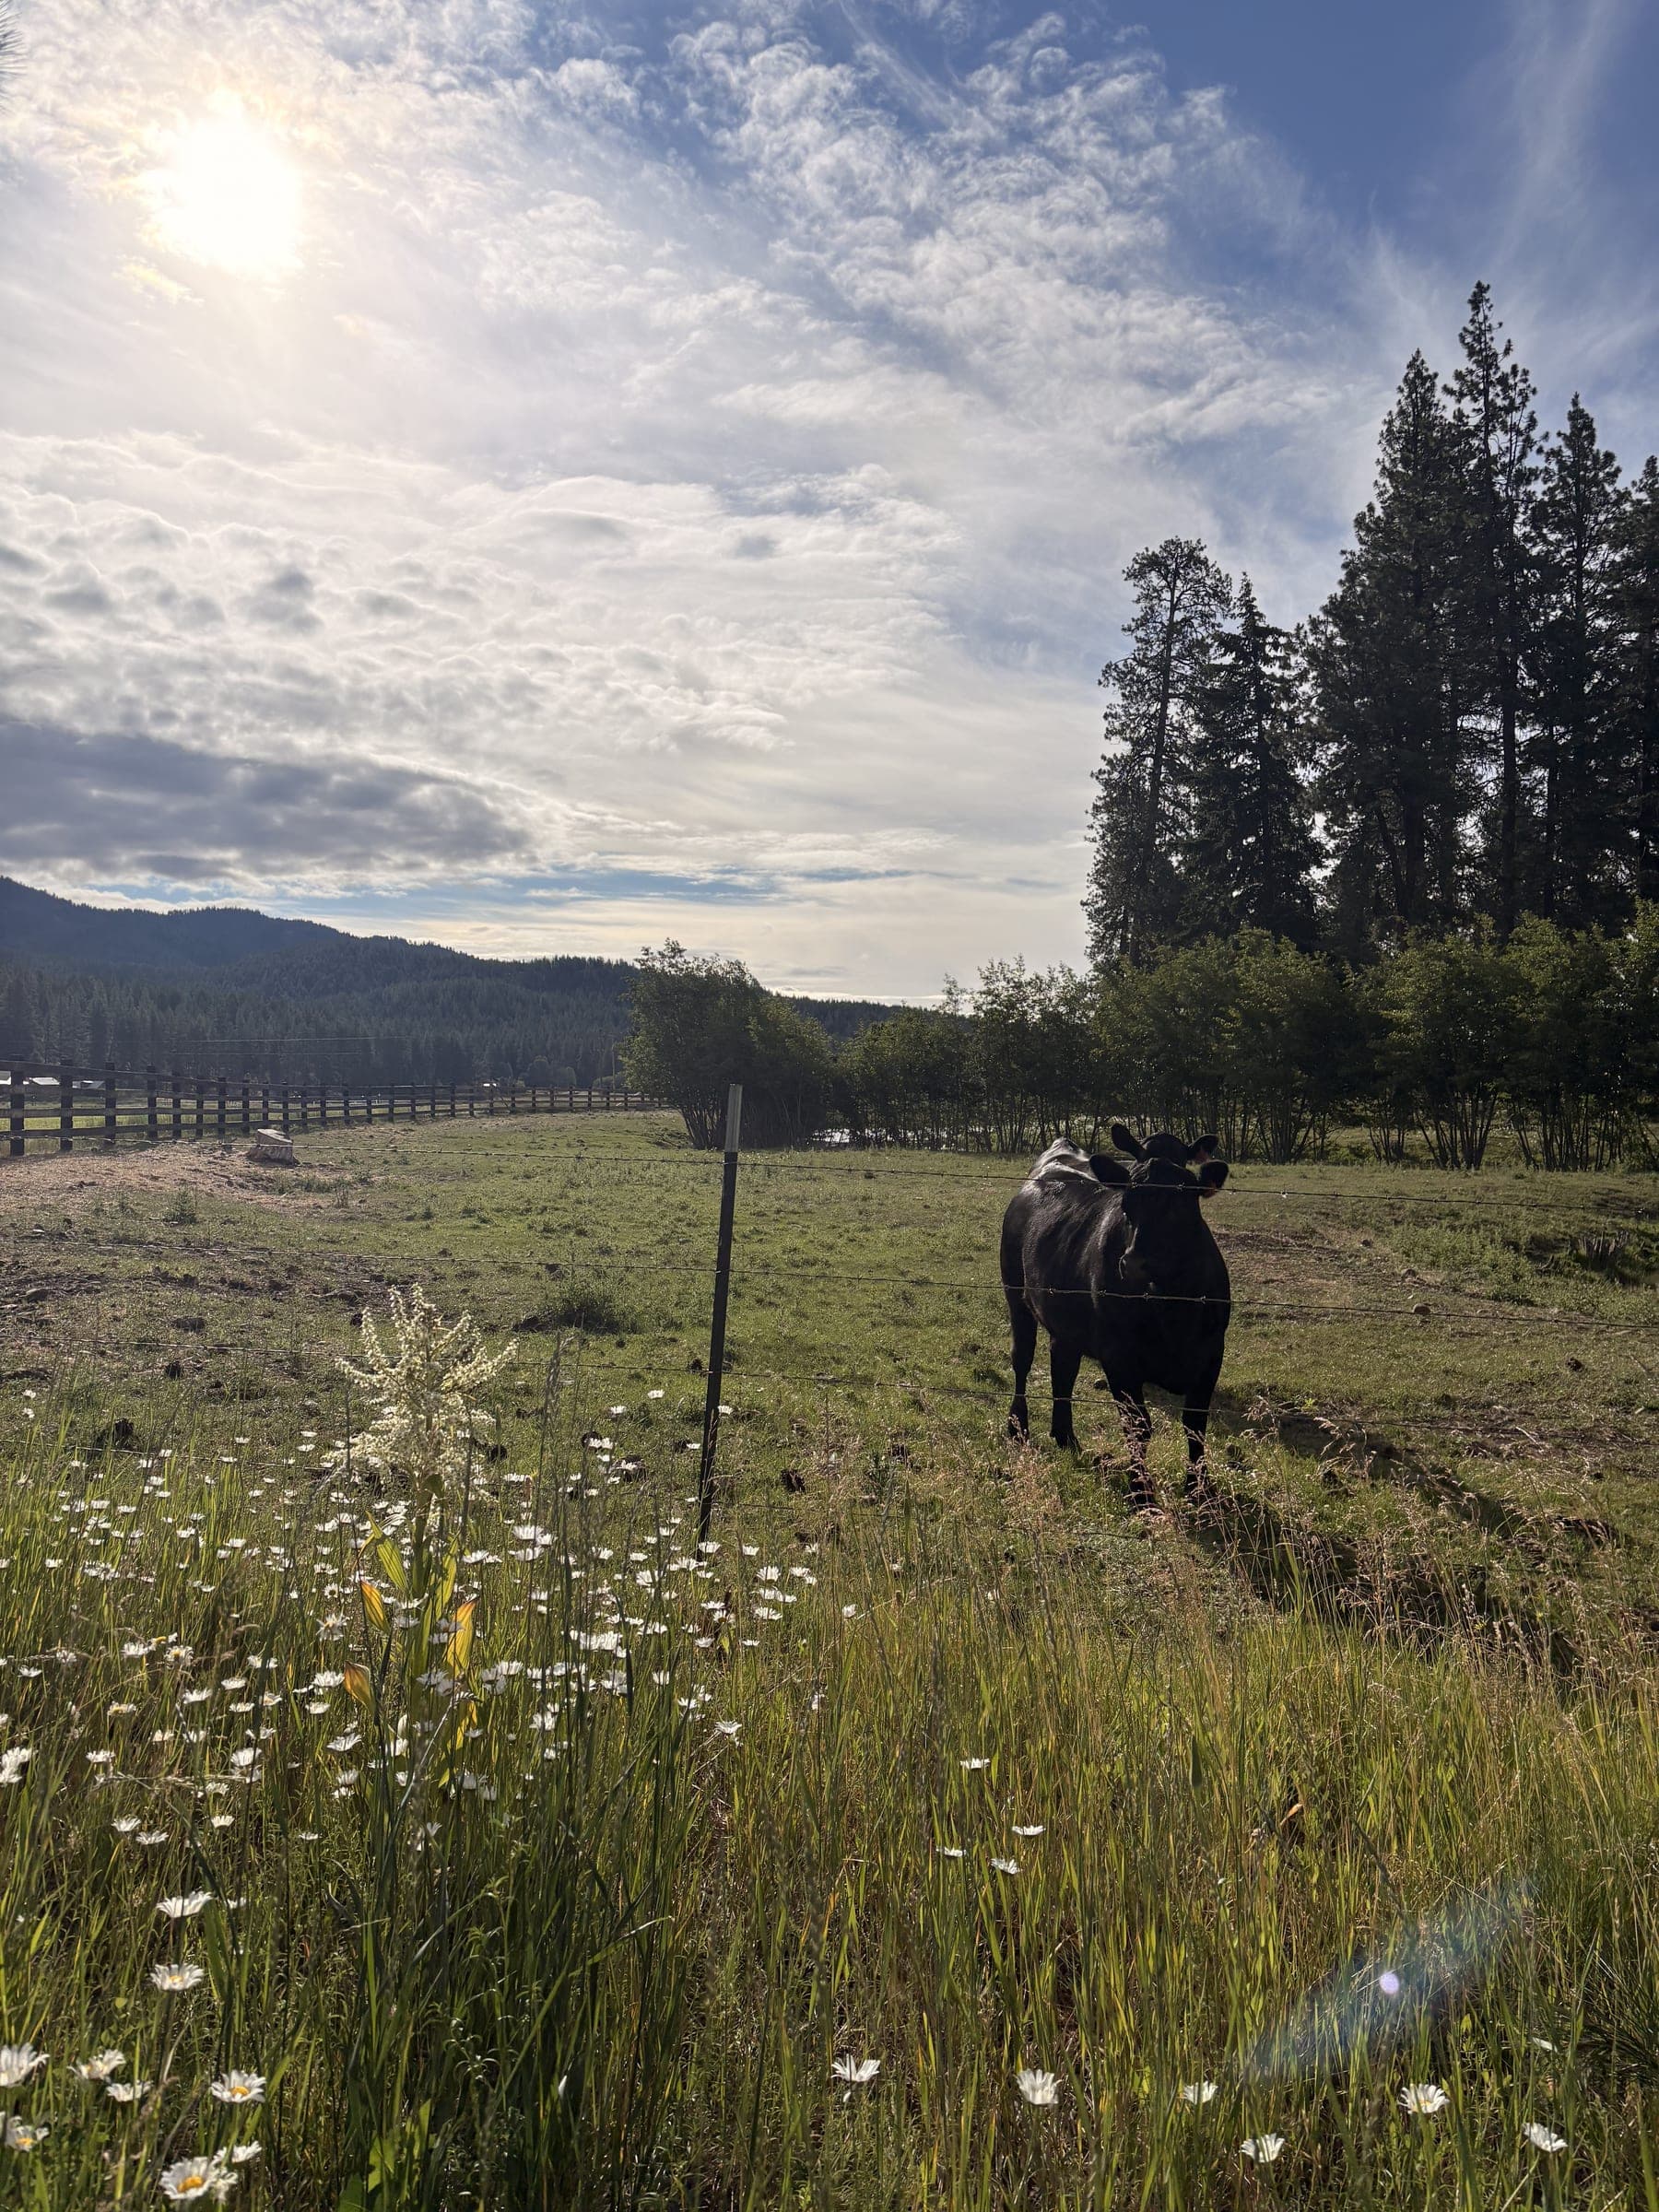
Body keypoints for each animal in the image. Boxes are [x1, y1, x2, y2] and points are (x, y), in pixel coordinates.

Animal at [1000, 1122, 1231, 1508]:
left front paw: (1199, 1491)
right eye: (1126, 1205)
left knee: (1063, 1366)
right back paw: (1018, 1426)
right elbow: (1138, 1426)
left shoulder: (1212, 1354)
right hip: (1016, 1294)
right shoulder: (1119, 1357)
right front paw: (1141, 1492)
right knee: (1023, 1360)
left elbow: (1195, 1426)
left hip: (1065, 1319)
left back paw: (1065, 1435)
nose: (1133, 1263)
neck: (1170, 1307)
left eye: (1181, 1205)